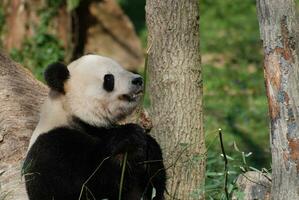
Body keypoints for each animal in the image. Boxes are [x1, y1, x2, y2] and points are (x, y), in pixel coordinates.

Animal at [23, 54, 166, 200]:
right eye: (109, 78)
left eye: (122, 68)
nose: (138, 80)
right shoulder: (53, 146)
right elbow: (83, 183)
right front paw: (129, 138)